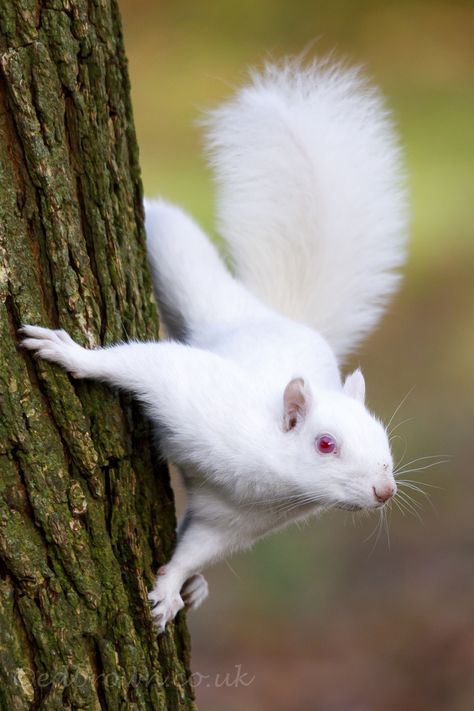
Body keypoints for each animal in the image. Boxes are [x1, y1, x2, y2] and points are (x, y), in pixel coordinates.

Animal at [21, 57, 408, 636]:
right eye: (325, 444)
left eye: (382, 437)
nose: (385, 491)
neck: (266, 475)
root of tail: (265, 314)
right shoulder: (195, 393)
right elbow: (139, 362)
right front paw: (71, 355)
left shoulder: (235, 518)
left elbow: (196, 548)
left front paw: (168, 589)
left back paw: (197, 588)